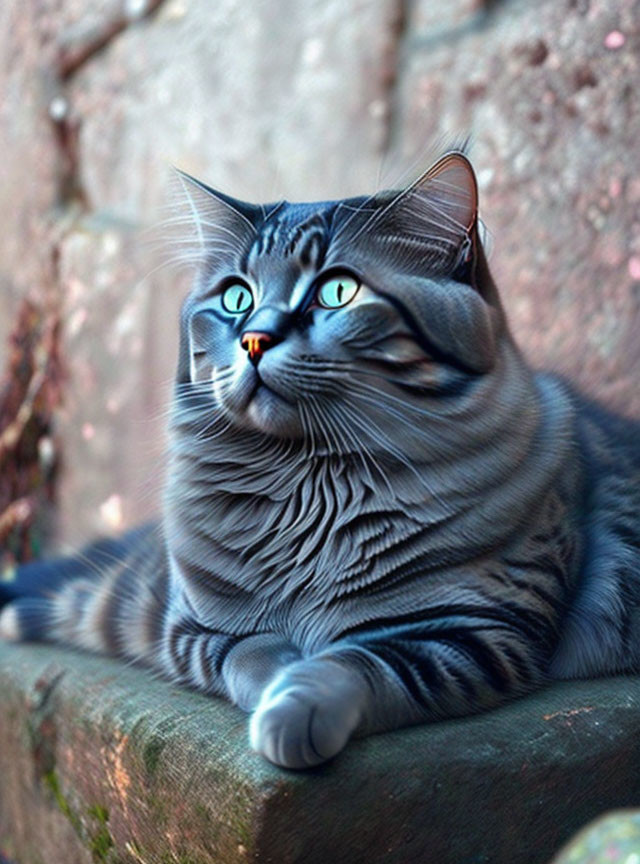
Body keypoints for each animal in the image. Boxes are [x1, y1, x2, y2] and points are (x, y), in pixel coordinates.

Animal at [1, 150, 640, 768]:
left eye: (337, 291)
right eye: (237, 297)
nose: (254, 339)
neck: (311, 484)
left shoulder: (482, 629)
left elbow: (354, 663)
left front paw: (294, 711)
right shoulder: (200, 628)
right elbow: (255, 656)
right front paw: (278, 685)